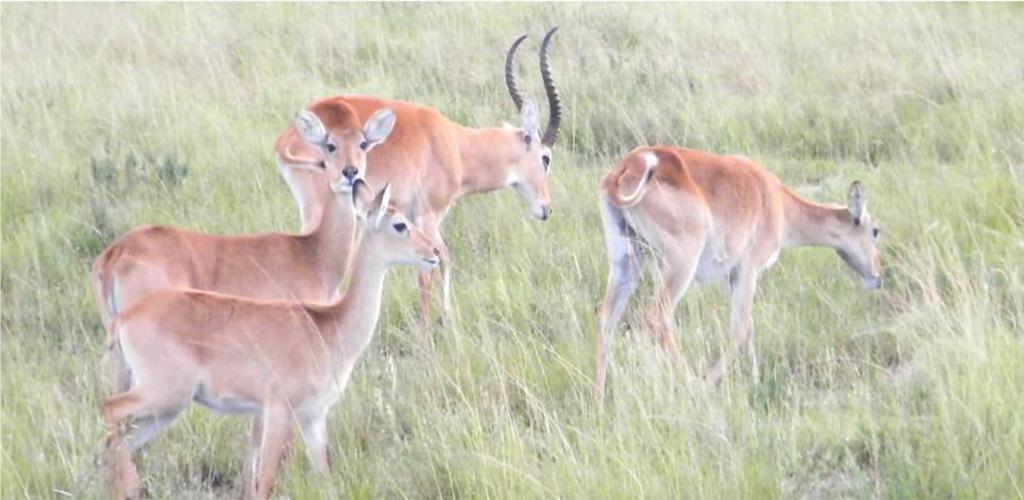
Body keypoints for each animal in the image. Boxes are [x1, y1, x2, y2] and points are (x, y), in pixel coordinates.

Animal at [99, 182, 440, 500]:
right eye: (400, 224)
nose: (434, 253)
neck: (328, 326)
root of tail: (125, 317)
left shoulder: (314, 418)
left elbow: (326, 475)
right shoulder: (277, 410)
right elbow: (265, 481)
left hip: (163, 410)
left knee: (116, 443)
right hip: (164, 394)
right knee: (109, 409)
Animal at [272, 27, 565, 340]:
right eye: (546, 158)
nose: (546, 209)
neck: (455, 144)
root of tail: (288, 136)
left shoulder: (415, 217)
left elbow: (444, 257)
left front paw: (447, 319)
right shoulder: (429, 215)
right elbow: (427, 270)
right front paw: (425, 335)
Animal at [598, 146, 884, 399]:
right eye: (875, 230)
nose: (877, 277)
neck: (776, 198)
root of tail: (633, 163)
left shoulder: (732, 276)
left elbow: (748, 327)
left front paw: (755, 381)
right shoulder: (748, 270)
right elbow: (741, 327)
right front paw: (713, 383)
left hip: (627, 261)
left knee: (606, 317)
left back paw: (598, 399)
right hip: (680, 265)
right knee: (656, 316)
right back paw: (692, 383)